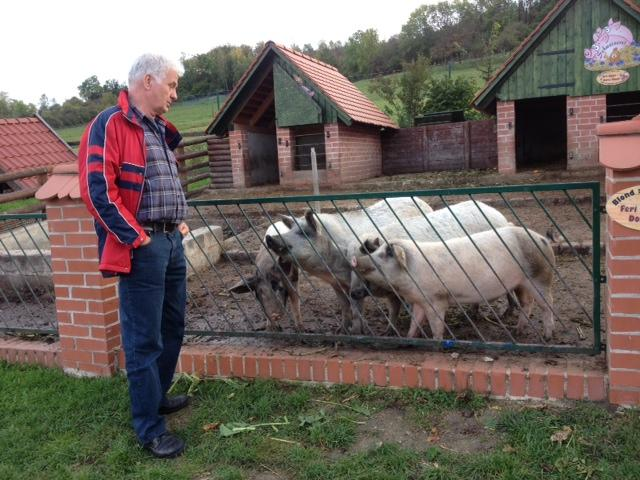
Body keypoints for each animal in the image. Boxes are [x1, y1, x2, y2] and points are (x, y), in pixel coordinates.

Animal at [352, 226, 556, 342]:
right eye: (376, 250)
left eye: (386, 254)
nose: (355, 260)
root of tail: (543, 239)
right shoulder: (419, 301)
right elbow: (415, 322)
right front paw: (409, 338)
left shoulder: (436, 300)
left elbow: (436, 323)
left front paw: (436, 340)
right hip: (521, 283)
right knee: (527, 304)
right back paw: (517, 332)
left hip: (540, 277)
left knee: (548, 305)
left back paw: (547, 337)